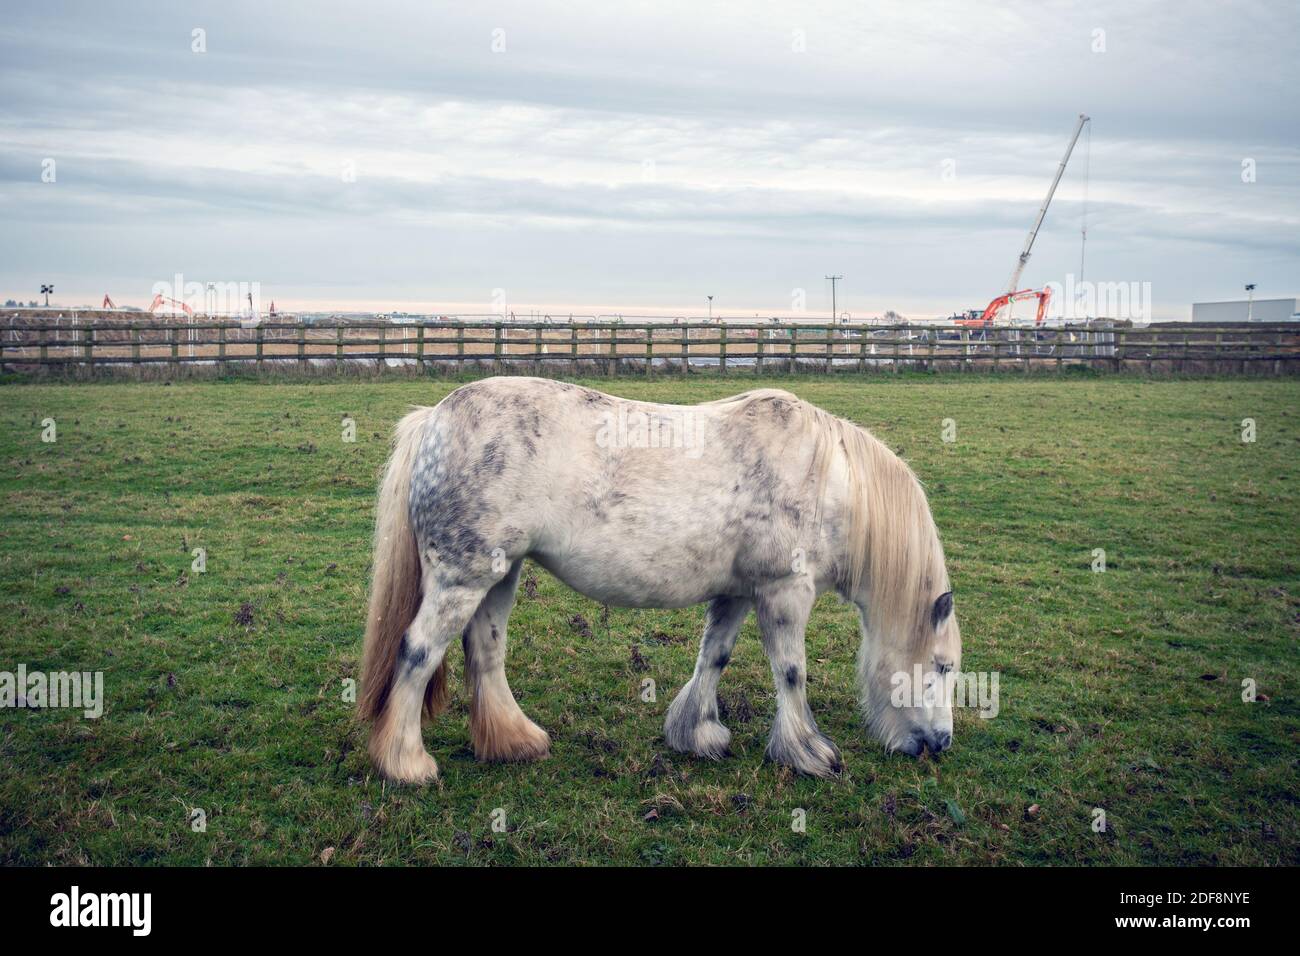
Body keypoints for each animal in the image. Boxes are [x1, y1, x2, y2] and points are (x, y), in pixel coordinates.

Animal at [361, 374, 961, 785]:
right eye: (943, 666)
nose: (940, 742)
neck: (826, 478)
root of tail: (434, 418)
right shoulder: (785, 592)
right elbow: (791, 672)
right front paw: (809, 753)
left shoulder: (737, 593)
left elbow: (713, 656)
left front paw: (696, 734)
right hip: (459, 580)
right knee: (417, 651)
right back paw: (406, 763)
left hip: (499, 575)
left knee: (485, 652)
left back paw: (514, 741)